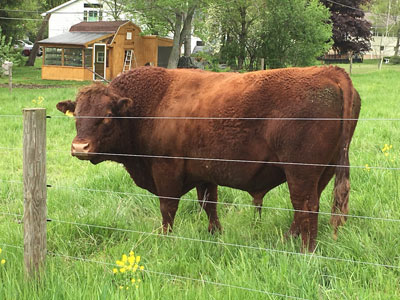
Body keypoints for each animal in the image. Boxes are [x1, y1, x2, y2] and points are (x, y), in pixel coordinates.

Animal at [56, 66, 360, 251]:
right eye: (78, 114)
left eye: (107, 116)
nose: (80, 147)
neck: (149, 105)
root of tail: (329, 72)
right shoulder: (204, 173)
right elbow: (209, 205)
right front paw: (215, 234)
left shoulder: (166, 169)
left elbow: (168, 208)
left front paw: (166, 239)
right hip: (322, 172)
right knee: (308, 207)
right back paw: (287, 240)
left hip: (300, 172)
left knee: (306, 207)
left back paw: (305, 250)